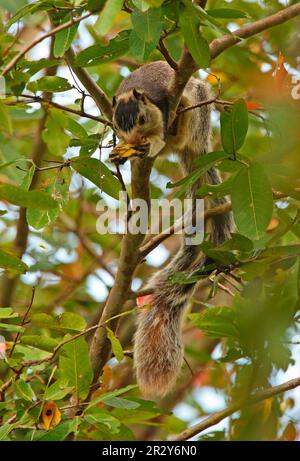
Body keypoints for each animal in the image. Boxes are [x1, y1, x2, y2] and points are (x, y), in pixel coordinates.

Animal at [110, 60, 232, 396]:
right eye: (117, 125)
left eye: (142, 117)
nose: (133, 141)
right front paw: (120, 152)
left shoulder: (164, 105)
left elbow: (160, 137)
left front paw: (148, 144)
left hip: (197, 113)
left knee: (181, 133)